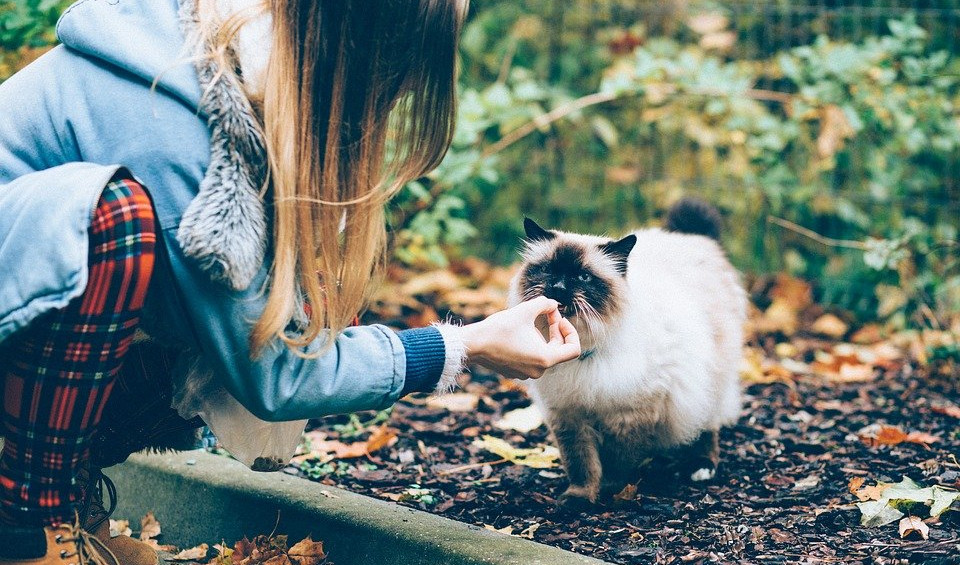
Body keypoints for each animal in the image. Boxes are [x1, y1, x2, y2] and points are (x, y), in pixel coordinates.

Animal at [506, 198, 748, 506]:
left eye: (583, 277)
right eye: (549, 271)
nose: (558, 288)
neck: (584, 350)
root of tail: (693, 238)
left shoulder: (628, 415)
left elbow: (616, 462)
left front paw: (610, 492)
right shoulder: (569, 416)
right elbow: (581, 465)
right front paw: (578, 499)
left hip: (707, 383)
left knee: (707, 427)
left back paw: (701, 468)